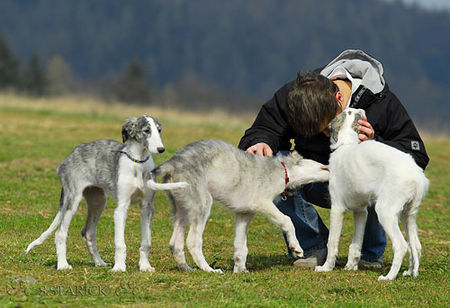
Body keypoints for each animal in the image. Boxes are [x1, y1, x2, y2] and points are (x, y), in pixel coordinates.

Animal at [25, 115, 187, 272]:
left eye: (159, 130)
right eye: (147, 130)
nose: (161, 149)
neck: (137, 163)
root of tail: (68, 158)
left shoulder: (147, 207)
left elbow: (146, 242)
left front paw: (145, 266)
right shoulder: (121, 208)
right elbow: (120, 243)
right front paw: (119, 268)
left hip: (98, 201)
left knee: (88, 232)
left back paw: (99, 263)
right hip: (73, 200)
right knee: (60, 233)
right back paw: (63, 265)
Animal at [149, 139, 328, 272]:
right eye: (323, 167)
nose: (331, 167)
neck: (281, 170)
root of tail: (172, 162)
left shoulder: (244, 214)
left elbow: (240, 246)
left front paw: (240, 270)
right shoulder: (261, 202)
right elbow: (287, 220)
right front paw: (296, 248)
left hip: (182, 207)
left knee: (175, 244)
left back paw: (187, 268)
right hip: (202, 204)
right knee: (193, 242)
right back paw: (209, 270)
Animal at [314, 108, 430, 282]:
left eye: (347, 111)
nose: (361, 109)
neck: (347, 144)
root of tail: (417, 175)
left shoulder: (337, 208)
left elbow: (332, 242)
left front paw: (326, 268)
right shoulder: (361, 211)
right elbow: (356, 243)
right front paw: (351, 266)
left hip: (385, 211)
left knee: (401, 246)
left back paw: (389, 277)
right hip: (408, 214)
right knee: (415, 246)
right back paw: (410, 272)